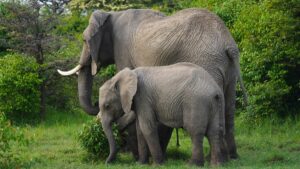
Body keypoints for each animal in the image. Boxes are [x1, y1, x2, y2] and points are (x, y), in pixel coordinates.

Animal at [57, 7, 247, 158]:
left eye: (84, 41)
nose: (97, 104)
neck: (112, 14)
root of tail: (228, 43)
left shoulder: (122, 49)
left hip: (207, 61)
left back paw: (212, 157)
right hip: (227, 68)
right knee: (228, 108)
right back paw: (232, 156)